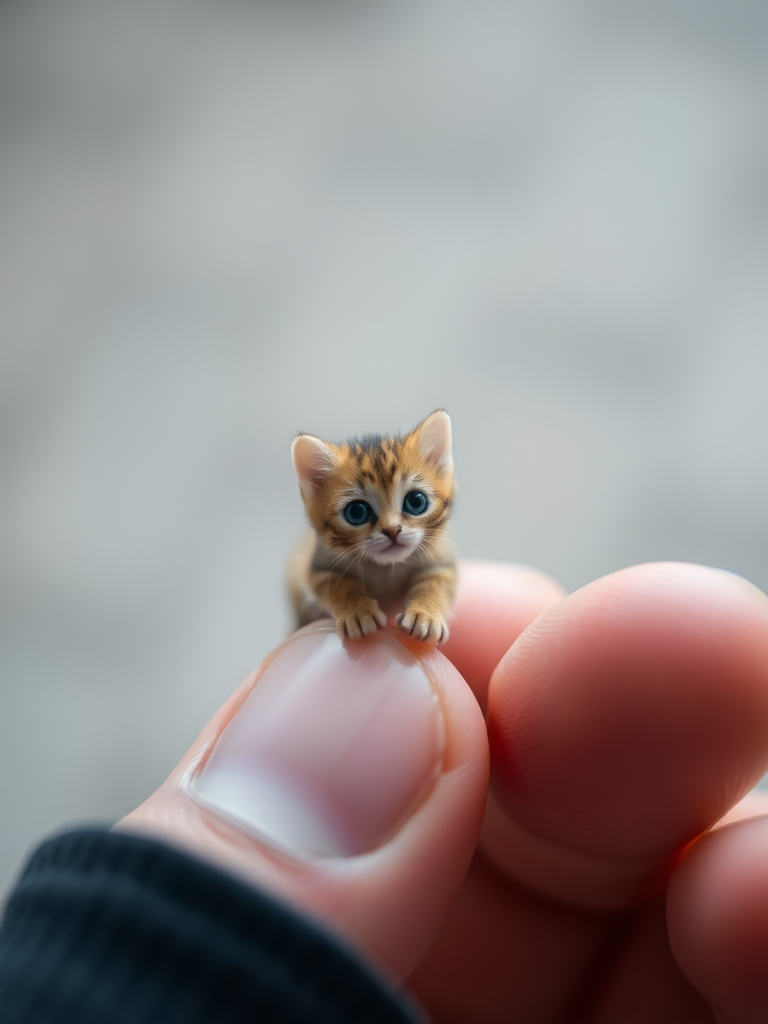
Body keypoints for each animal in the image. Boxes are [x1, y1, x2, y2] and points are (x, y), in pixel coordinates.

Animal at [288, 409, 456, 643]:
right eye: (356, 512)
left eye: (416, 501)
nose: (392, 530)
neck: (384, 568)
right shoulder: (319, 567)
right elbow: (341, 584)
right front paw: (358, 611)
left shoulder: (441, 562)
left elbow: (435, 583)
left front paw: (426, 614)